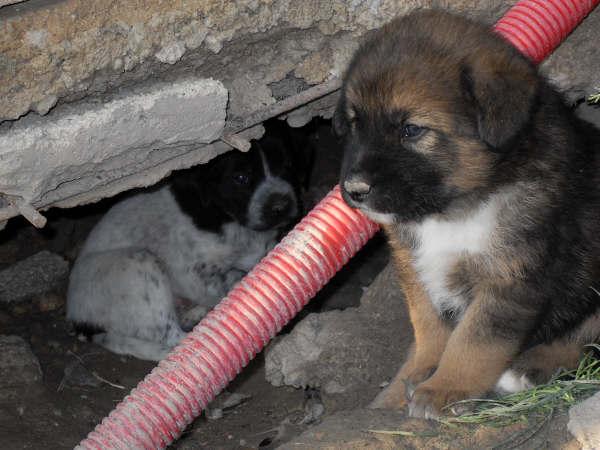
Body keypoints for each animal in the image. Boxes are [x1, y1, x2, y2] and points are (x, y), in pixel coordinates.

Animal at [68, 128, 302, 360]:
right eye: (241, 178)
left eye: (288, 164)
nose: (281, 207)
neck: (228, 219)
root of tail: (79, 321)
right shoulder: (191, 274)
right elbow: (223, 290)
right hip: (138, 264)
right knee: (174, 339)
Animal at [336, 9, 596, 418]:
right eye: (354, 123)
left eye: (411, 130)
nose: (354, 190)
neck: (453, 210)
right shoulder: (416, 266)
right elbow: (428, 328)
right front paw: (409, 381)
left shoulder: (511, 278)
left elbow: (474, 341)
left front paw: (444, 387)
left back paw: (526, 370)